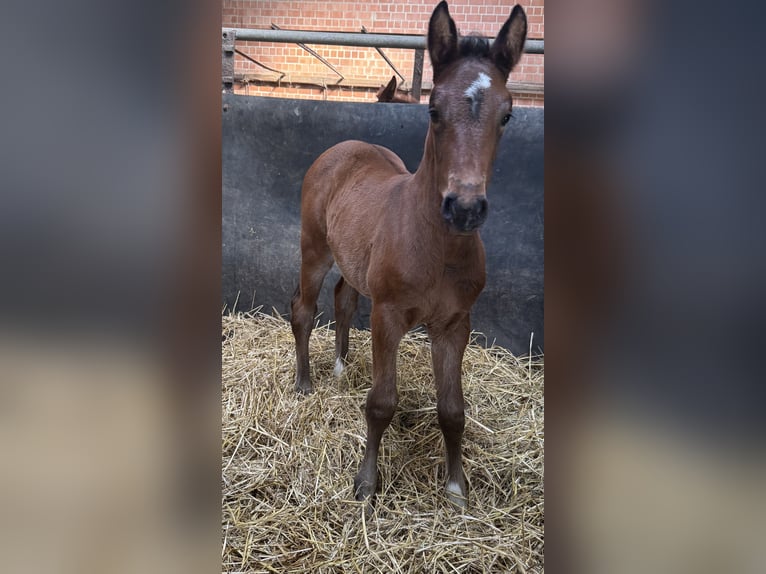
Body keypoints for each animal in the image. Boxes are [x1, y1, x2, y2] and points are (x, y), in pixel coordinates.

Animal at [290, 0, 527, 508]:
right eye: (434, 109)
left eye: (507, 115)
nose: (464, 208)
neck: (439, 249)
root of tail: (344, 148)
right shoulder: (389, 315)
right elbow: (382, 403)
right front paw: (365, 483)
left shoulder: (455, 325)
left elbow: (453, 409)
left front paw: (456, 488)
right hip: (314, 248)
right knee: (303, 309)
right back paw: (304, 383)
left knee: (343, 297)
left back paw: (340, 368)